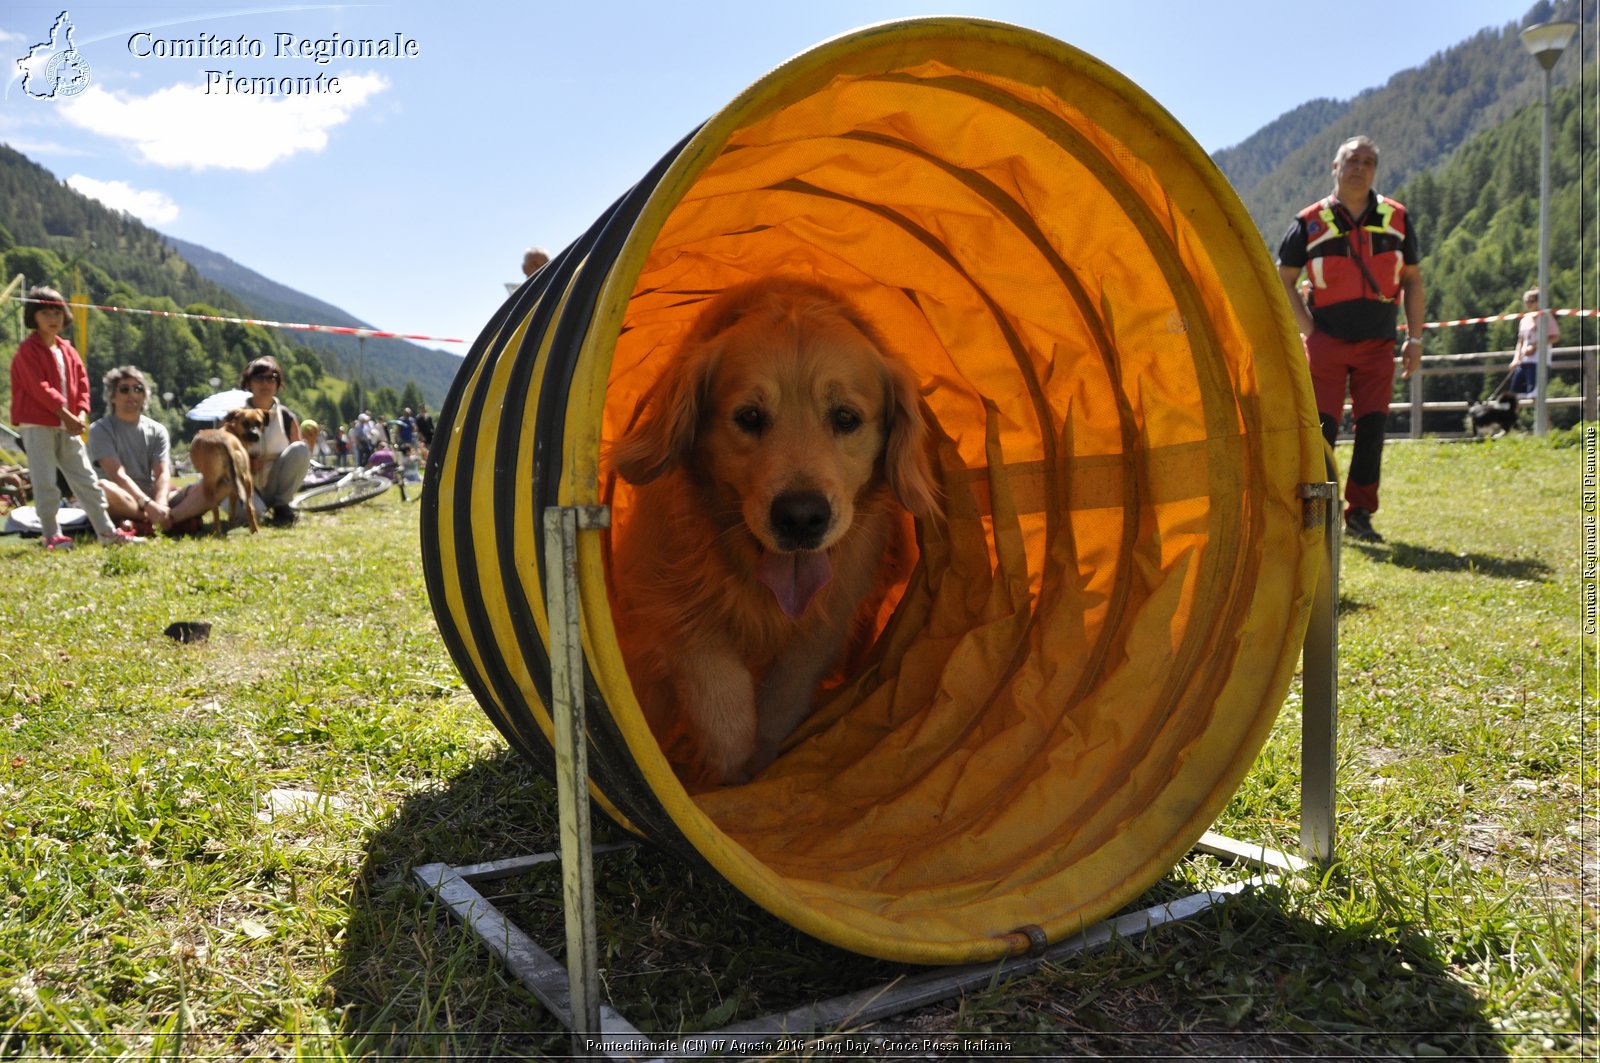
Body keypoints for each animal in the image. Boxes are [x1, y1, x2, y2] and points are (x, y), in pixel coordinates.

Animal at [608, 275, 934, 787]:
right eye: (749, 417)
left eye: (846, 417)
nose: (801, 517)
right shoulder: (670, 603)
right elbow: (720, 697)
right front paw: (728, 772)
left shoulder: (825, 620)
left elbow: (783, 693)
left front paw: (758, 759)